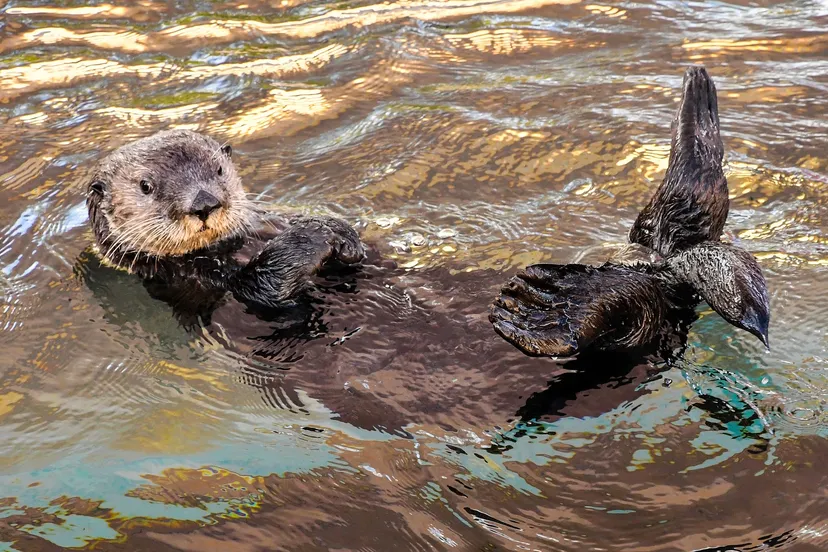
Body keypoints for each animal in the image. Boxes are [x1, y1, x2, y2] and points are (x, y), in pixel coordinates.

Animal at [86, 130, 365, 314]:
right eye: (145, 186)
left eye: (218, 170)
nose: (204, 203)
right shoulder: (196, 280)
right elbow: (265, 285)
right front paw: (312, 235)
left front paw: (341, 233)